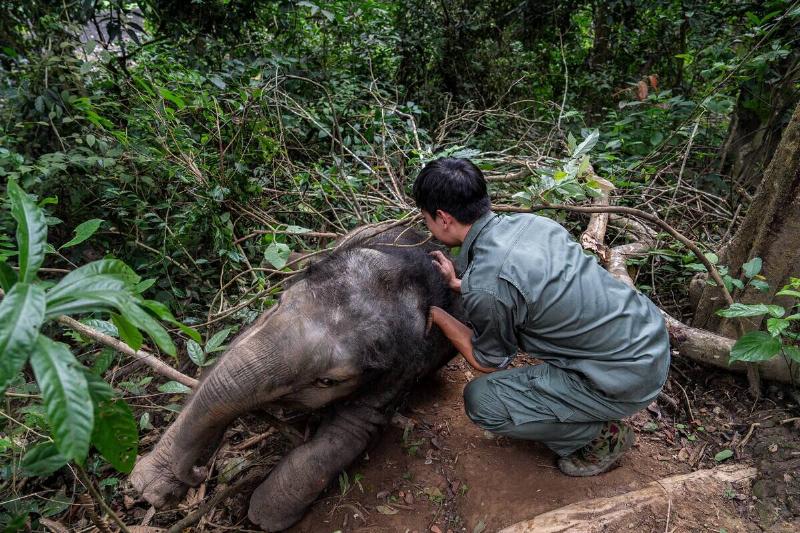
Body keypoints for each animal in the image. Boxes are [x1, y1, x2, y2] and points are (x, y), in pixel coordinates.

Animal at [129, 224, 461, 531]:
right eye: (277, 303)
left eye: (327, 381)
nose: (198, 474)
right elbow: (226, 361)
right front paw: (149, 486)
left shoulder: (401, 370)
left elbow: (351, 430)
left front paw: (262, 515)